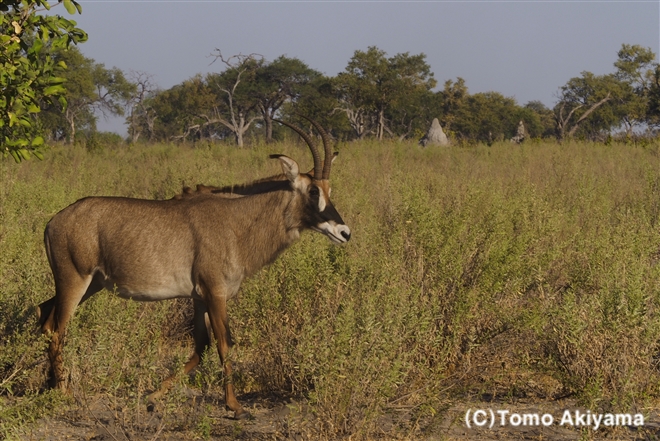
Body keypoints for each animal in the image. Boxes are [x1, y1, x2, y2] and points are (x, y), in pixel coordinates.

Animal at [38, 117, 350, 420]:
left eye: (329, 189)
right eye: (313, 190)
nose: (344, 232)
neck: (235, 222)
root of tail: (54, 221)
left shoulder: (198, 298)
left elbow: (202, 347)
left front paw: (153, 396)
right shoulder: (215, 292)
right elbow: (224, 343)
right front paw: (235, 407)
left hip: (91, 284)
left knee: (44, 314)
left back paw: (47, 386)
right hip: (74, 280)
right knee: (56, 329)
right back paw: (63, 391)